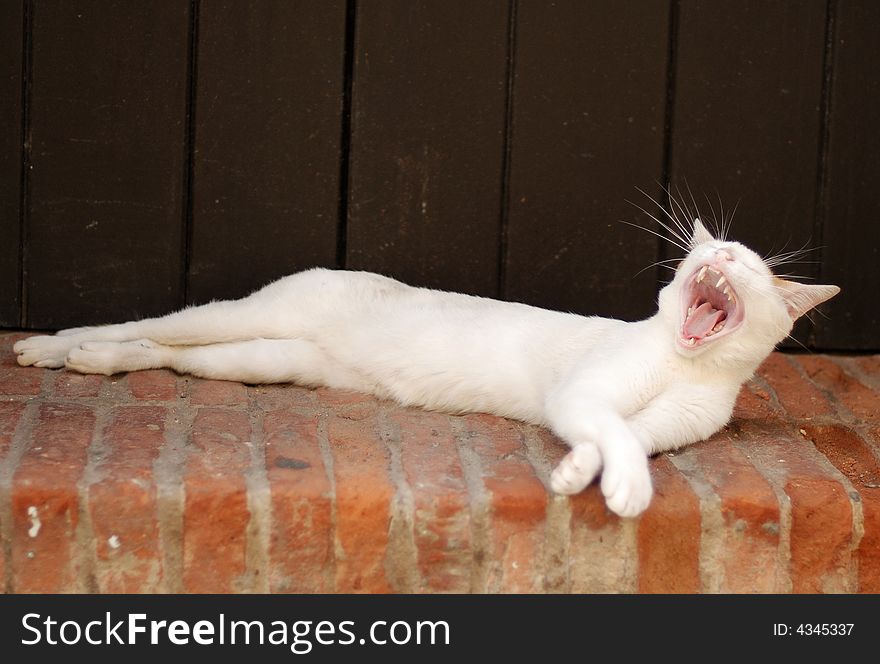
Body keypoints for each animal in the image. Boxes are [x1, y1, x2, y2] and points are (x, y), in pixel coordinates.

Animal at [13, 219, 840, 520]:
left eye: (750, 265)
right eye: (712, 254)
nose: (721, 253)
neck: (681, 360)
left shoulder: (665, 425)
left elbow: (624, 440)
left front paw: (584, 475)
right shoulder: (583, 393)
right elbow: (609, 428)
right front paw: (616, 486)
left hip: (267, 361)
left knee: (169, 354)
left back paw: (96, 360)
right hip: (240, 319)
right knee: (150, 325)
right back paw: (57, 347)